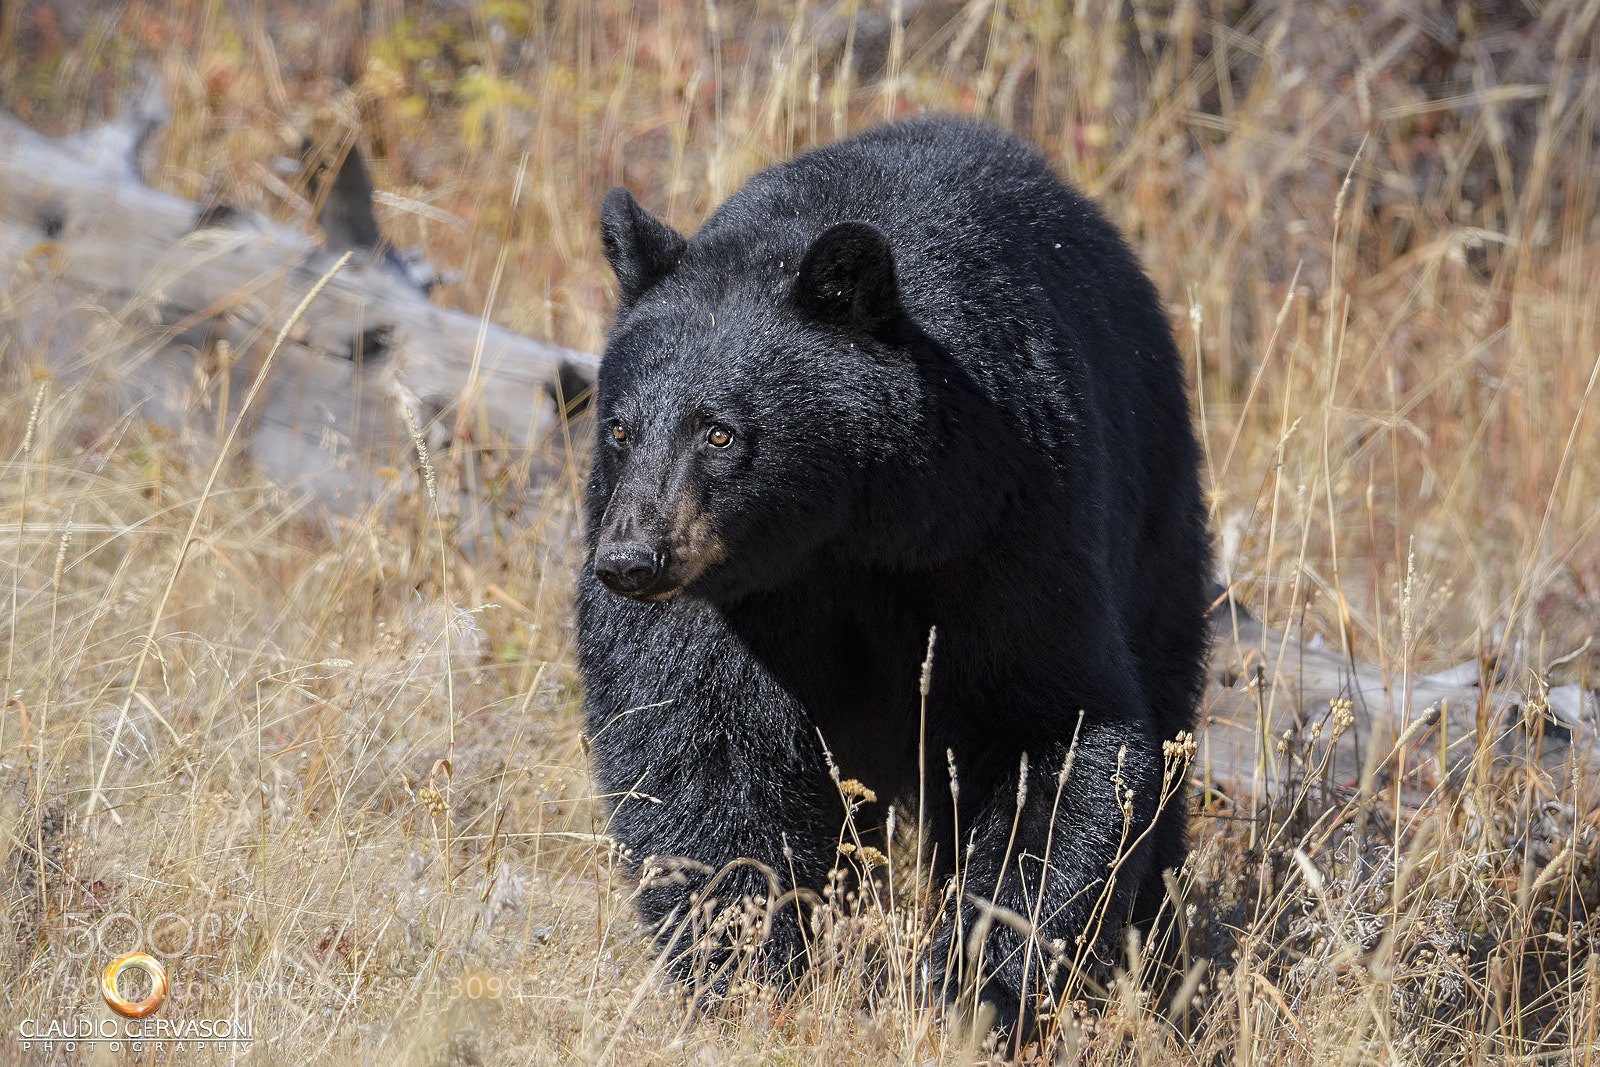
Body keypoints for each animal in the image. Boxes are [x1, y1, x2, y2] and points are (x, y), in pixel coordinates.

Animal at [576, 117, 1211, 1038]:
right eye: (620, 428)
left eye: (721, 432)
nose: (630, 560)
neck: (841, 532)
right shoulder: (726, 597)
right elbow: (698, 744)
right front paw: (751, 968)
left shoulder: (1004, 522)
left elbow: (1058, 729)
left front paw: (975, 983)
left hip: (1156, 511)